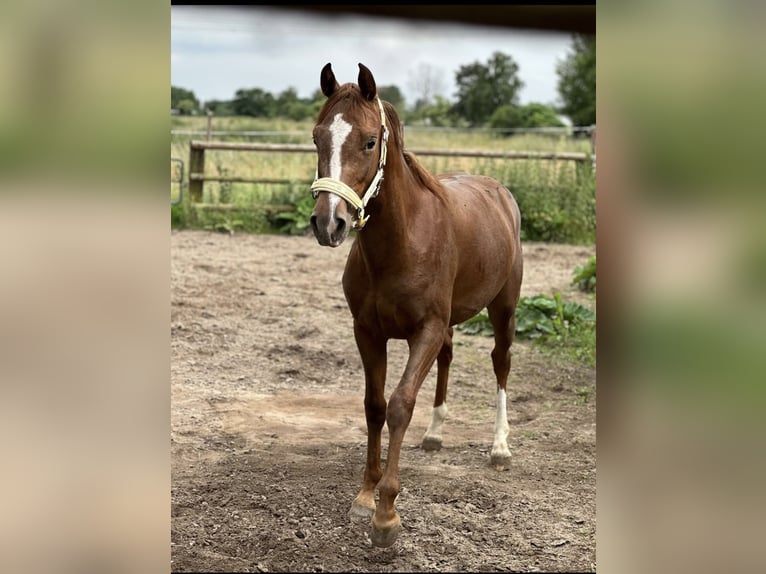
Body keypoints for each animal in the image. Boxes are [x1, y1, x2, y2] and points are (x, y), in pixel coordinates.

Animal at [308, 63, 524, 548]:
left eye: (370, 141)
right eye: (317, 137)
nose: (329, 224)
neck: (403, 242)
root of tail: (499, 191)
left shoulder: (423, 330)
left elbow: (400, 404)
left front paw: (386, 515)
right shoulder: (367, 331)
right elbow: (373, 405)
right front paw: (365, 495)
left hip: (504, 307)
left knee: (500, 362)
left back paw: (500, 447)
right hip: (449, 324)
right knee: (448, 357)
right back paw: (435, 434)